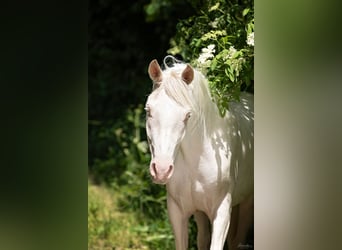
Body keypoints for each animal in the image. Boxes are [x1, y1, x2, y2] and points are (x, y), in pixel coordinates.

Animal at [144, 57, 254, 250]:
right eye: (148, 110)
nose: (162, 170)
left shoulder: (222, 213)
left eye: (187, 115)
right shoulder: (177, 212)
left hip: (248, 203)